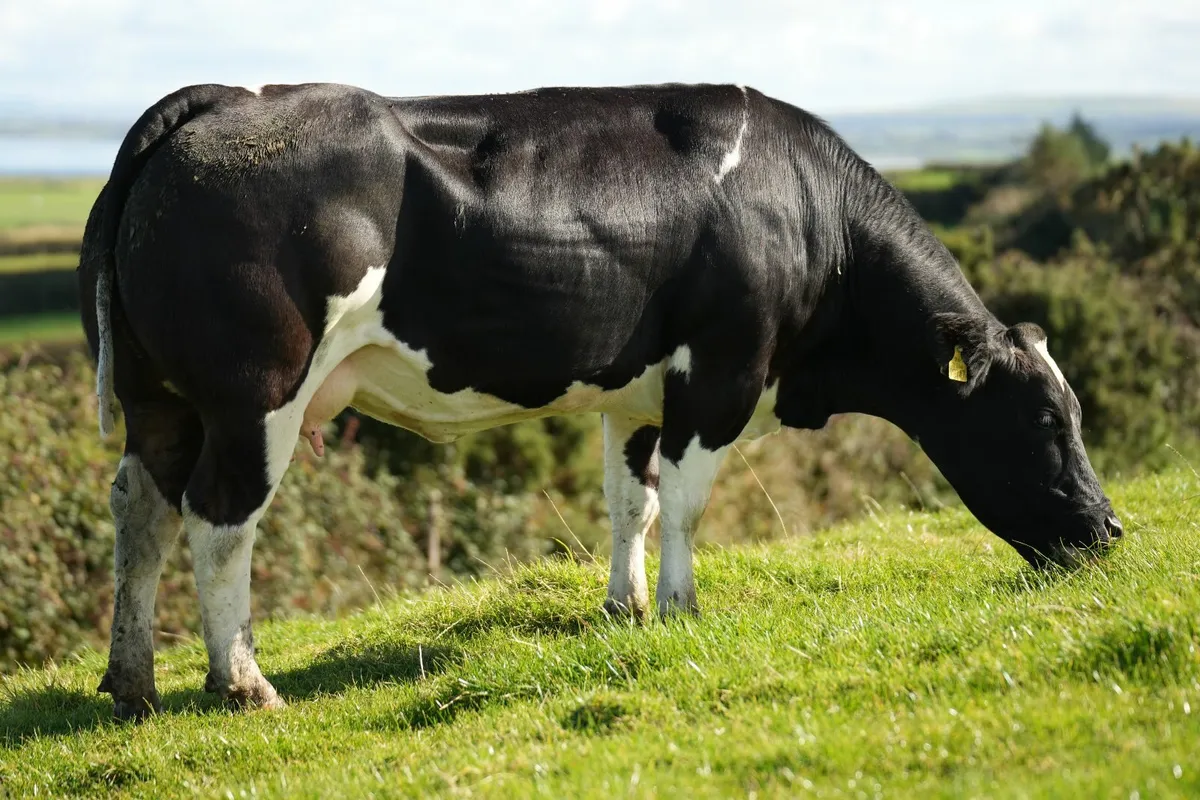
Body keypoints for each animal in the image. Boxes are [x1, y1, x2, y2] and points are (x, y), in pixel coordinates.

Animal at [78, 82, 1122, 720]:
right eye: (1044, 420)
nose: (1109, 530)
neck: (810, 213)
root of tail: (225, 98)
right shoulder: (723, 370)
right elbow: (690, 503)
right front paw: (684, 609)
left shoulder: (640, 390)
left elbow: (635, 502)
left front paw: (626, 606)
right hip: (256, 394)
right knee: (219, 520)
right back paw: (242, 683)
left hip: (158, 399)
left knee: (141, 510)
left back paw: (132, 684)